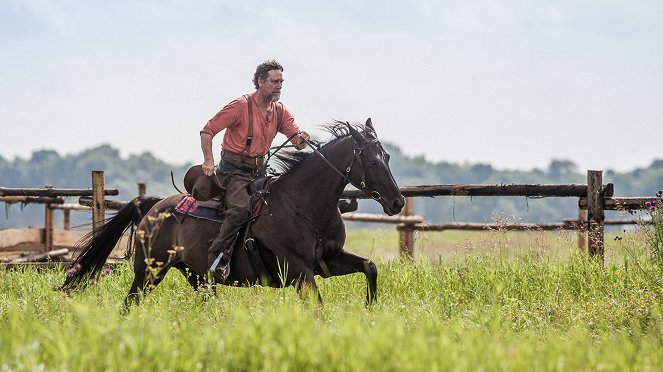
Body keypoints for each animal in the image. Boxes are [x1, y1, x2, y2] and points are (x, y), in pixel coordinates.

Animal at [62, 120, 404, 306]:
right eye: (372, 161)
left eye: (387, 156)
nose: (398, 202)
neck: (304, 205)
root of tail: (153, 205)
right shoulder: (299, 272)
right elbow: (318, 308)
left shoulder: (328, 261)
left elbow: (371, 266)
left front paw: (369, 309)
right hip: (148, 271)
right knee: (130, 303)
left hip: (196, 276)